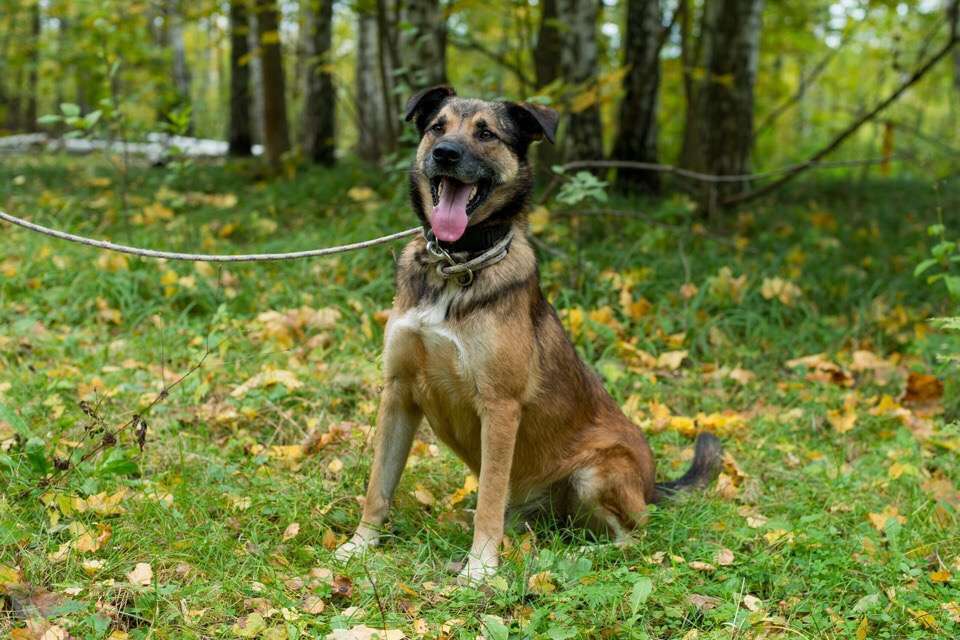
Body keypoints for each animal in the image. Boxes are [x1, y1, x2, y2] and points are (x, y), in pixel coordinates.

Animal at [338, 86, 720, 584]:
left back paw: (581, 555)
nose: (445, 153)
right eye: (437, 127)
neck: (456, 264)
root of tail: (653, 485)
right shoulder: (399, 393)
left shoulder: (500, 407)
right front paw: (360, 545)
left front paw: (480, 568)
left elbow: (488, 499)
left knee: (633, 538)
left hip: (596, 472)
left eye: (486, 134)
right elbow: (378, 485)